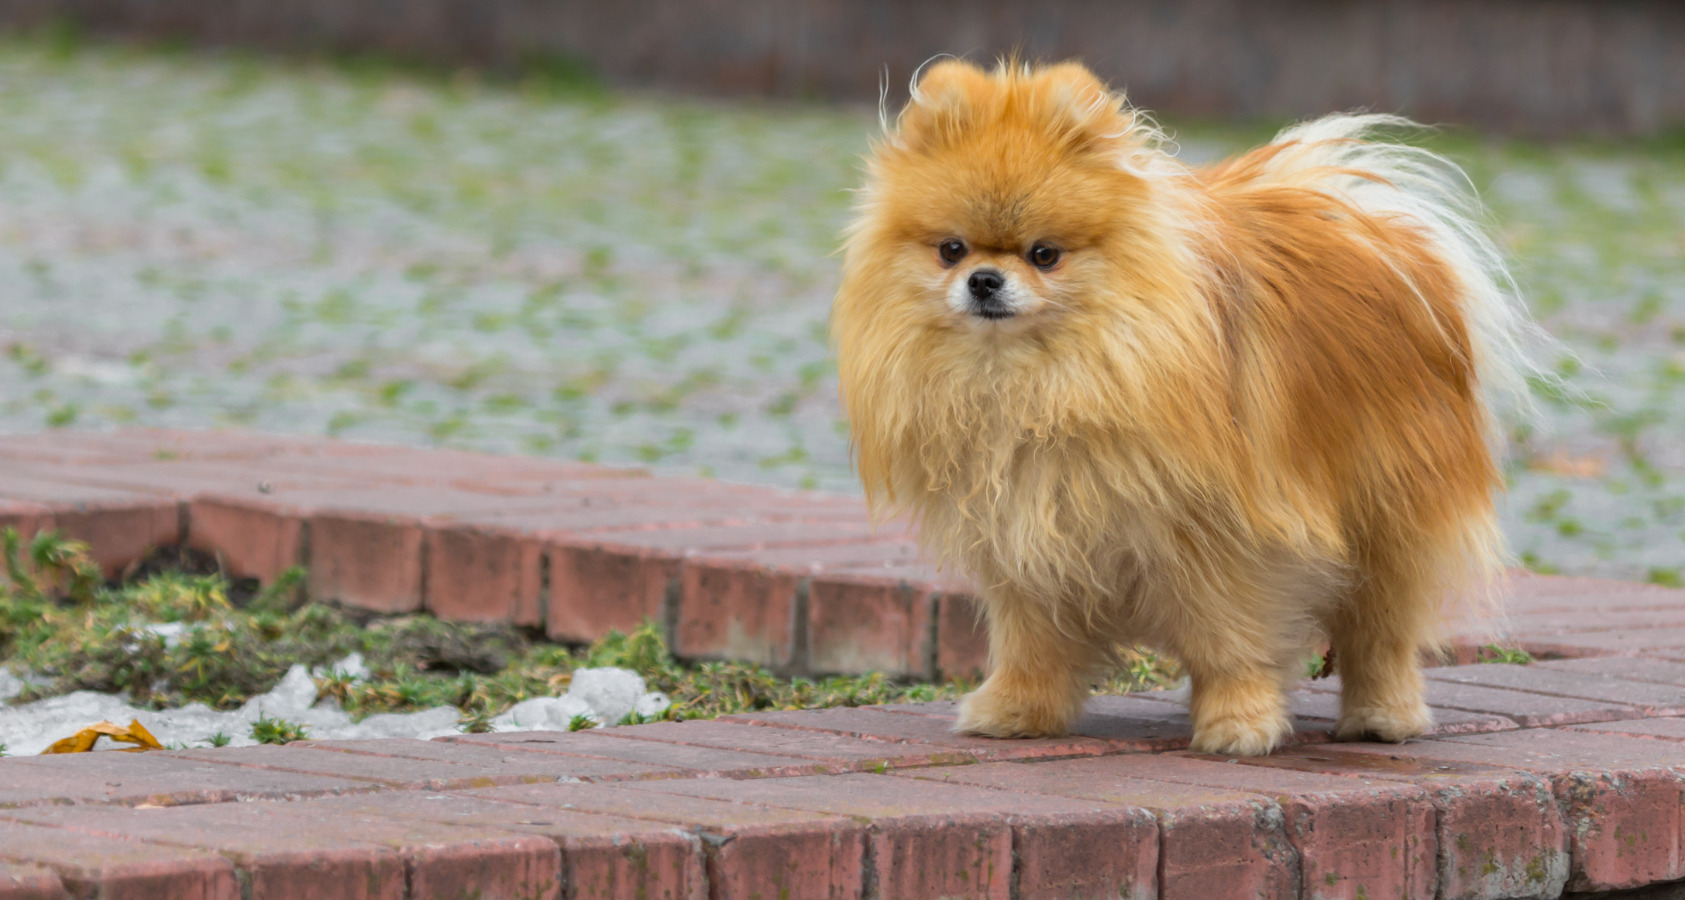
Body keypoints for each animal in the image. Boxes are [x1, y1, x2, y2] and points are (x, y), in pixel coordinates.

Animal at [822, 59, 1543, 758]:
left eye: (1044, 255)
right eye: (951, 250)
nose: (982, 281)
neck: (1043, 380)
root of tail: (1381, 234)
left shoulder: (1224, 539)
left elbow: (1231, 642)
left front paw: (1239, 724)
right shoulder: (1027, 534)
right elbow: (1033, 641)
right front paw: (1017, 711)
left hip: (1386, 511)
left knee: (1380, 631)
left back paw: (1381, 718)